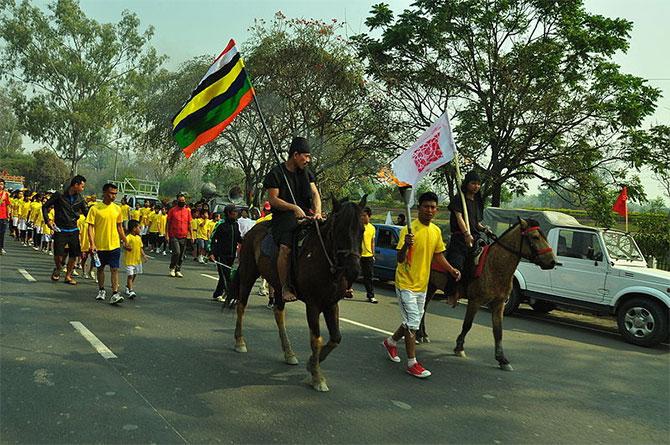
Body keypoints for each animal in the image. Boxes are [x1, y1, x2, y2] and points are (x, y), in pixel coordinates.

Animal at [231, 196, 368, 390]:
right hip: (248, 273)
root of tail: (253, 230)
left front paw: (312, 363)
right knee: (241, 306)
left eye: (362, 230)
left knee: (278, 314)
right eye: (340, 230)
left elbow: (336, 338)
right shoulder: (313, 304)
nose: (354, 271)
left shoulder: (331, 303)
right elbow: (316, 339)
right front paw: (317, 377)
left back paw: (289, 353)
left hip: (278, 285)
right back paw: (240, 341)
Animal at [420, 217, 556, 370]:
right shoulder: (475, 301)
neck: (494, 266)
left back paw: (422, 334)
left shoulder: (498, 304)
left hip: (432, 287)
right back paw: (420, 335)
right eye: (535, 237)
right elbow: (467, 325)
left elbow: (498, 331)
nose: (552, 261)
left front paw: (502, 359)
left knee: (424, 308)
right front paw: (459, 348)